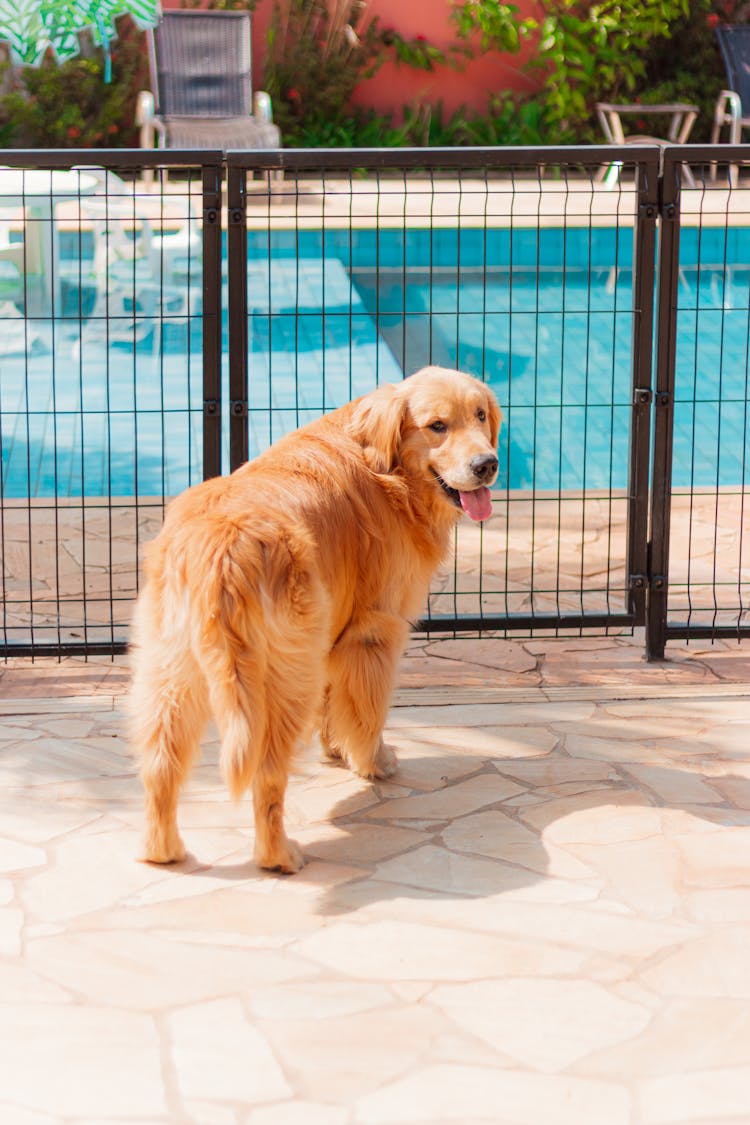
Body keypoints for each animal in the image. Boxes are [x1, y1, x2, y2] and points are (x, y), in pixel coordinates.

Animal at [130, 364, 499, 873]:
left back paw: (162, 850)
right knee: (266, 774)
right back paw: (279, 856)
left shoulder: (333, 632)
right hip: (284, 677)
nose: (488, 464)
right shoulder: (374, 631)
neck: (385, 468)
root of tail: (224, 543)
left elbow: (335, 703)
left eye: (480, 415)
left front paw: (335, 749)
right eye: (437, 426)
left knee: (160, 764)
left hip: (172, 672)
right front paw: (374, 762)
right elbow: (368, 710)